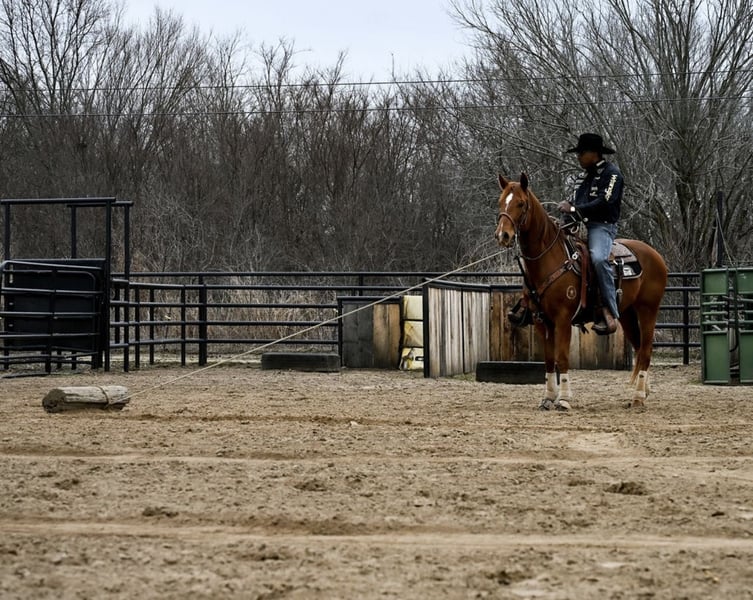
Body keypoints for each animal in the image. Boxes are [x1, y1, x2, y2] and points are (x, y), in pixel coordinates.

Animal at [494, 173, 668, 409]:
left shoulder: (563, 319)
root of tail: (655, 255)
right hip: (627, 314)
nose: (502, 235)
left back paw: (638, 397)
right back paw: (644, 391)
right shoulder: (541, 320)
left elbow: (562, 357)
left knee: (647, 350)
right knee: (640, 349)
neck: (549, 258)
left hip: (648, 310)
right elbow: (549, 359)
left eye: (521, 203)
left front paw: (564, 399)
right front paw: (548, 397)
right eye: (501, 202)